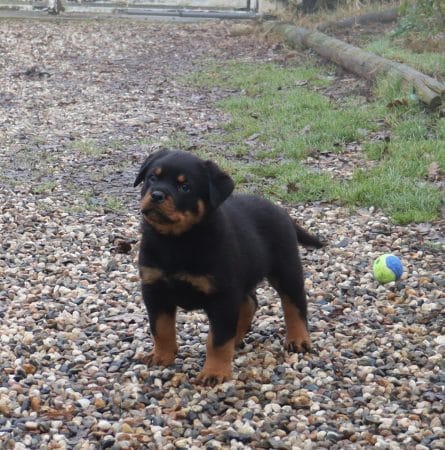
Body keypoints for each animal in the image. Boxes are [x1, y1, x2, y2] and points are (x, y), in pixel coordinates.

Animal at [133, 149, 322, 384]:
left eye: (185, 187)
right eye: (152, 178)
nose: (157, 195)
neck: (175, 241)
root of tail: (281, 211)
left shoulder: (222, 296)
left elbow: (218, 339)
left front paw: (214, 373)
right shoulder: (154, 288)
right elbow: (161, 328)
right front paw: (161, 356)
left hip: (286, 268)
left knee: (294, 304)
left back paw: (298, 339)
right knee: (249, 303)